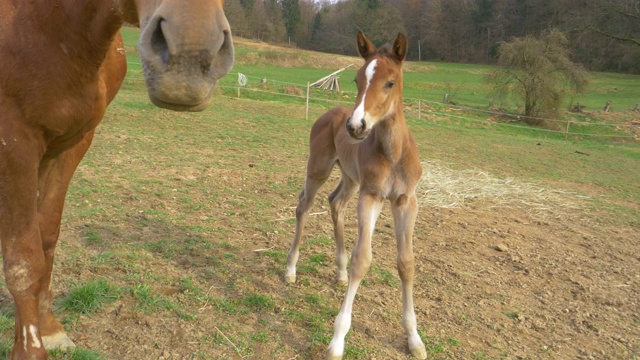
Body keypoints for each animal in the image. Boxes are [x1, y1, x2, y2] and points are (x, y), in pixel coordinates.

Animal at [0, 1, 235, 358]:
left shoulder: (69, 146)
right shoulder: (14, 145)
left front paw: (49, 328)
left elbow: (46, 240)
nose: (191, 59)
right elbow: (24, 261)